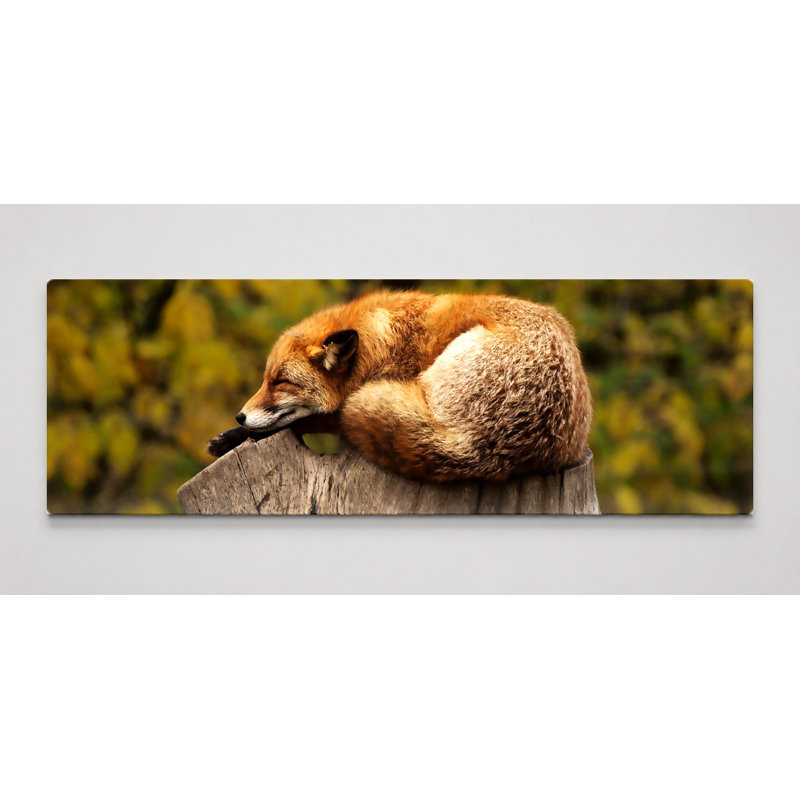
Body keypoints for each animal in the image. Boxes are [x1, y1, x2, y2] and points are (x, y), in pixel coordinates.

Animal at [207, 290, 592, 482]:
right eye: (265, 380)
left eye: (281, 382)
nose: (240, 416)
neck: (379, 344)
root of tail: (485, 450)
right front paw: (230, 436)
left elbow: (308, 420)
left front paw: (236, 436)